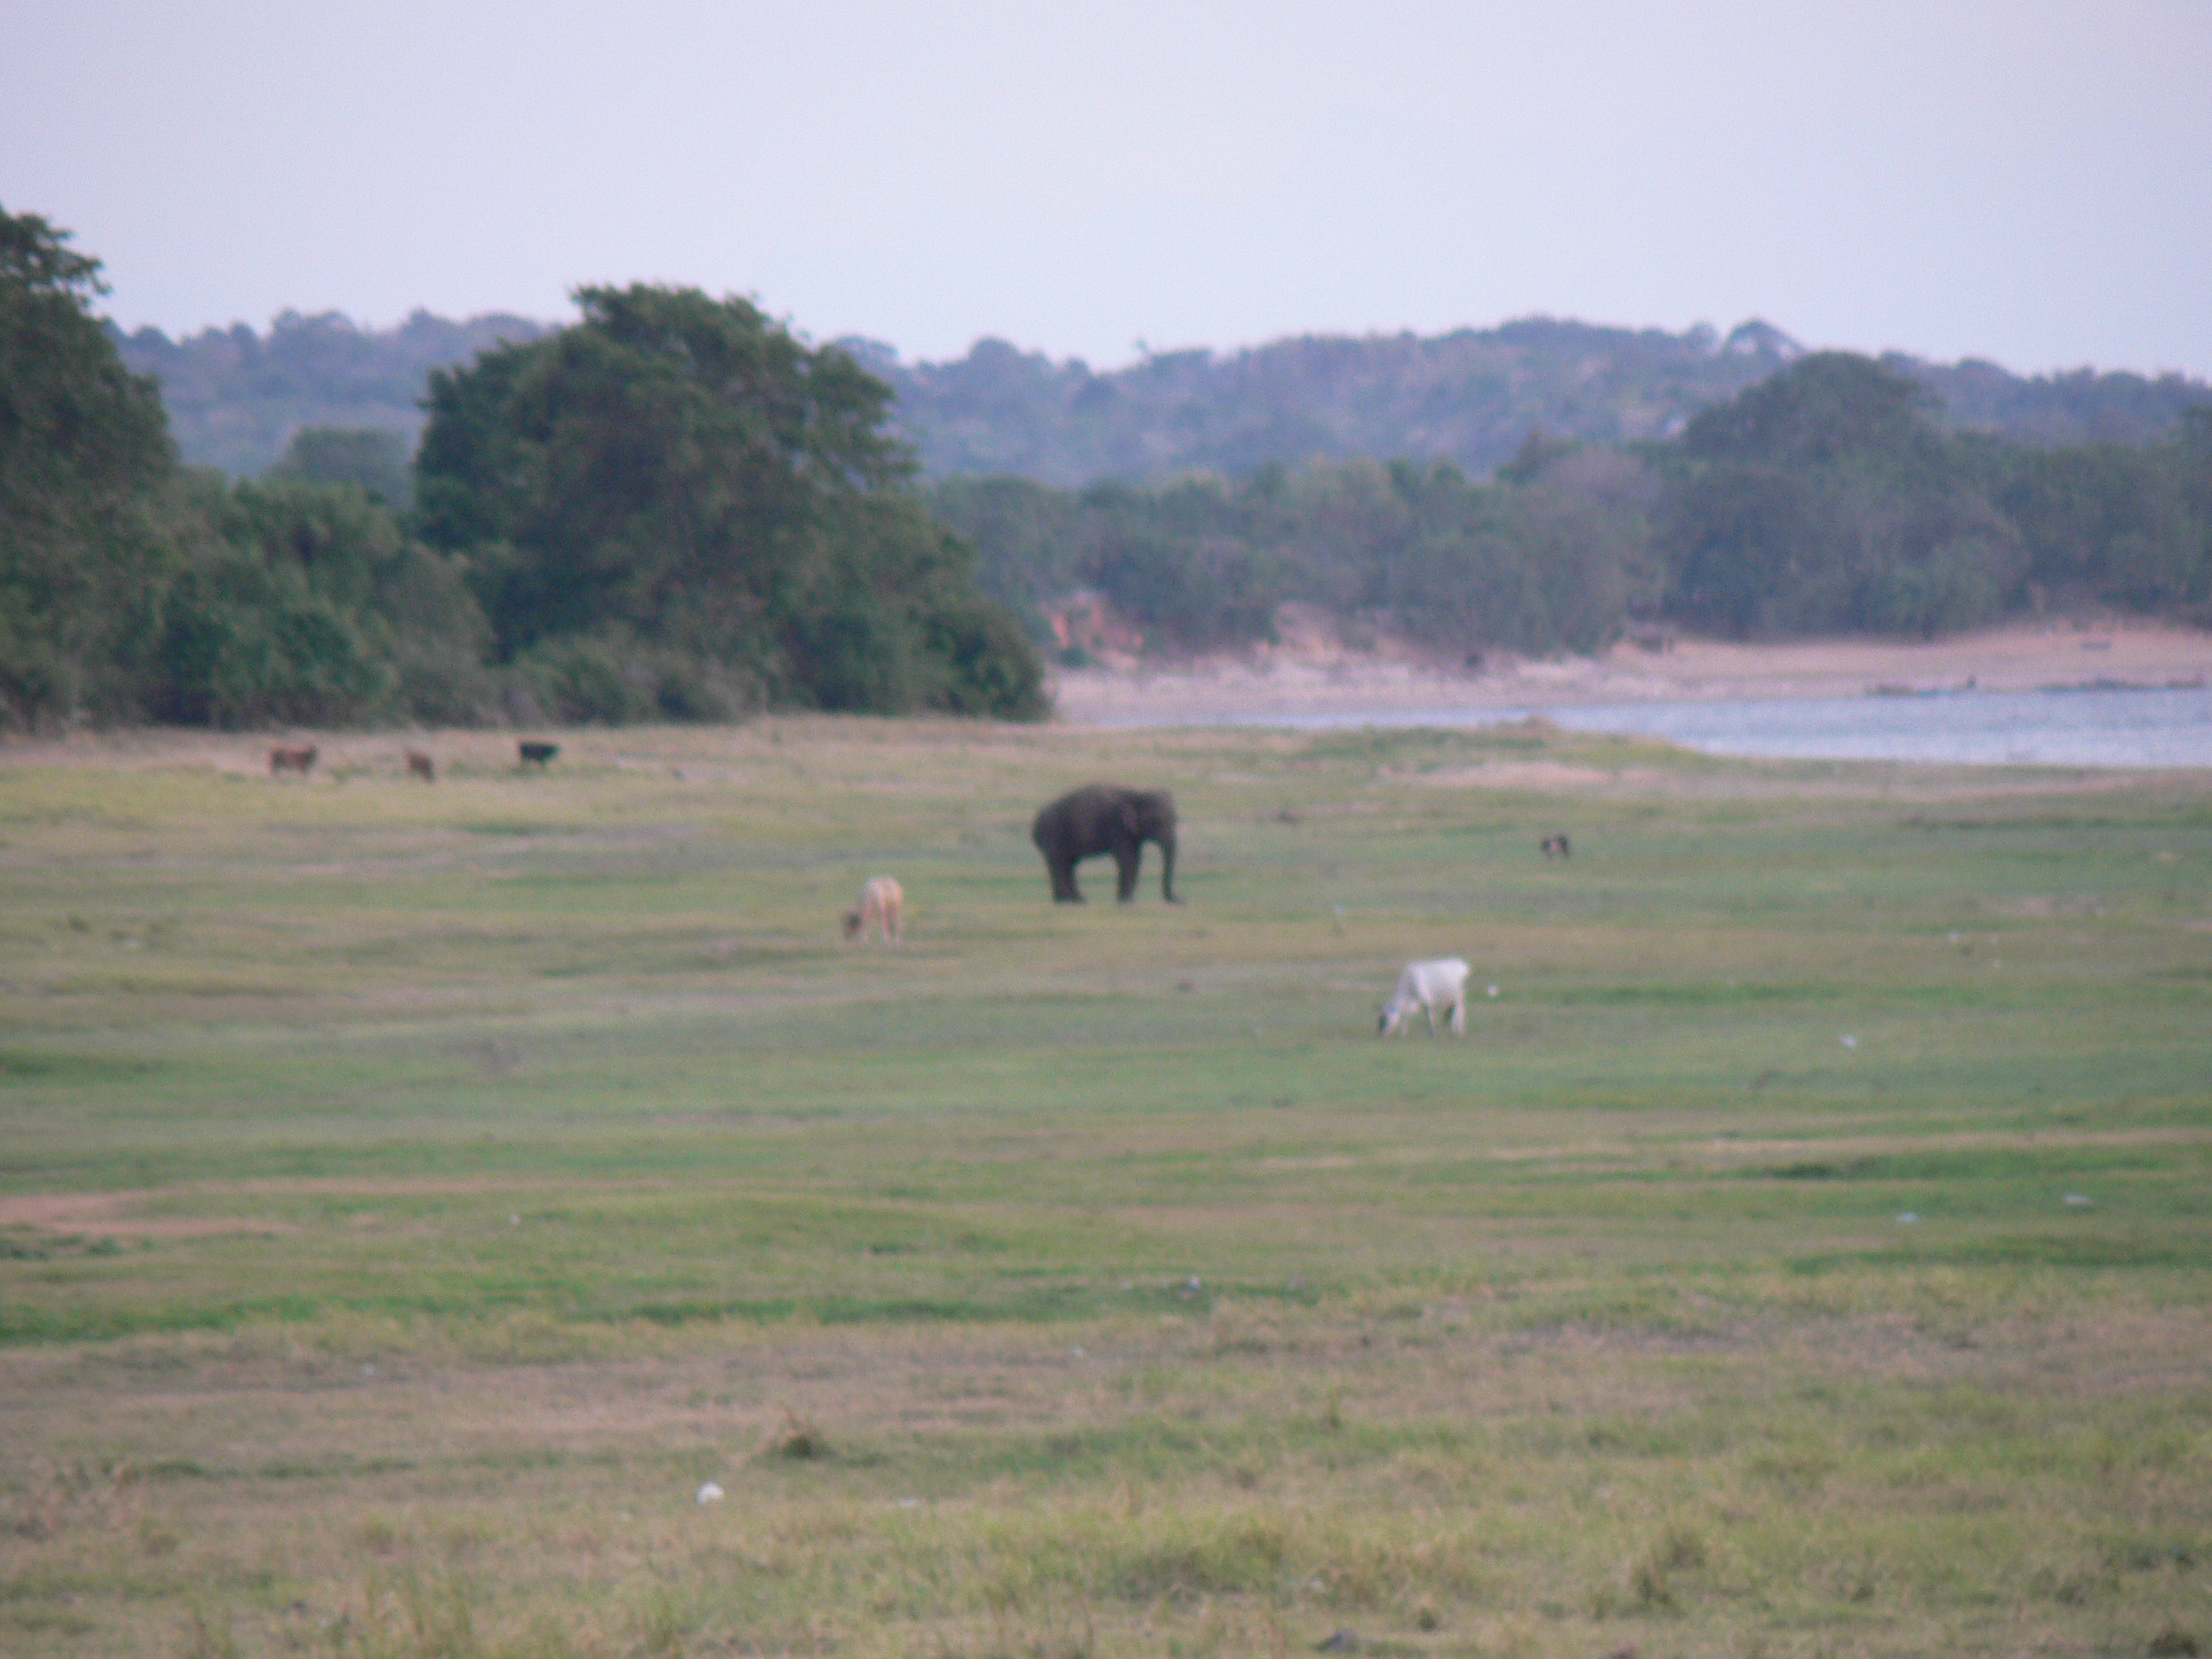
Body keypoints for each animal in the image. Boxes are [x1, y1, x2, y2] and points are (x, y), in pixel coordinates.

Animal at [1032, 785, 1179, 904]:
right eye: (1157, 821)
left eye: (1175, 819)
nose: (1181, 899)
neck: (1135, 794)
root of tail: (1035, 824)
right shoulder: (1118, 828)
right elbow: (1128, 859)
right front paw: (1126, 901)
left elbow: (1136, 859)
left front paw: (1126, 900)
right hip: (1053, 833)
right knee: (1059, 863)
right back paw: (1069, 901)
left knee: (1068, 864)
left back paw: (1073, 900)